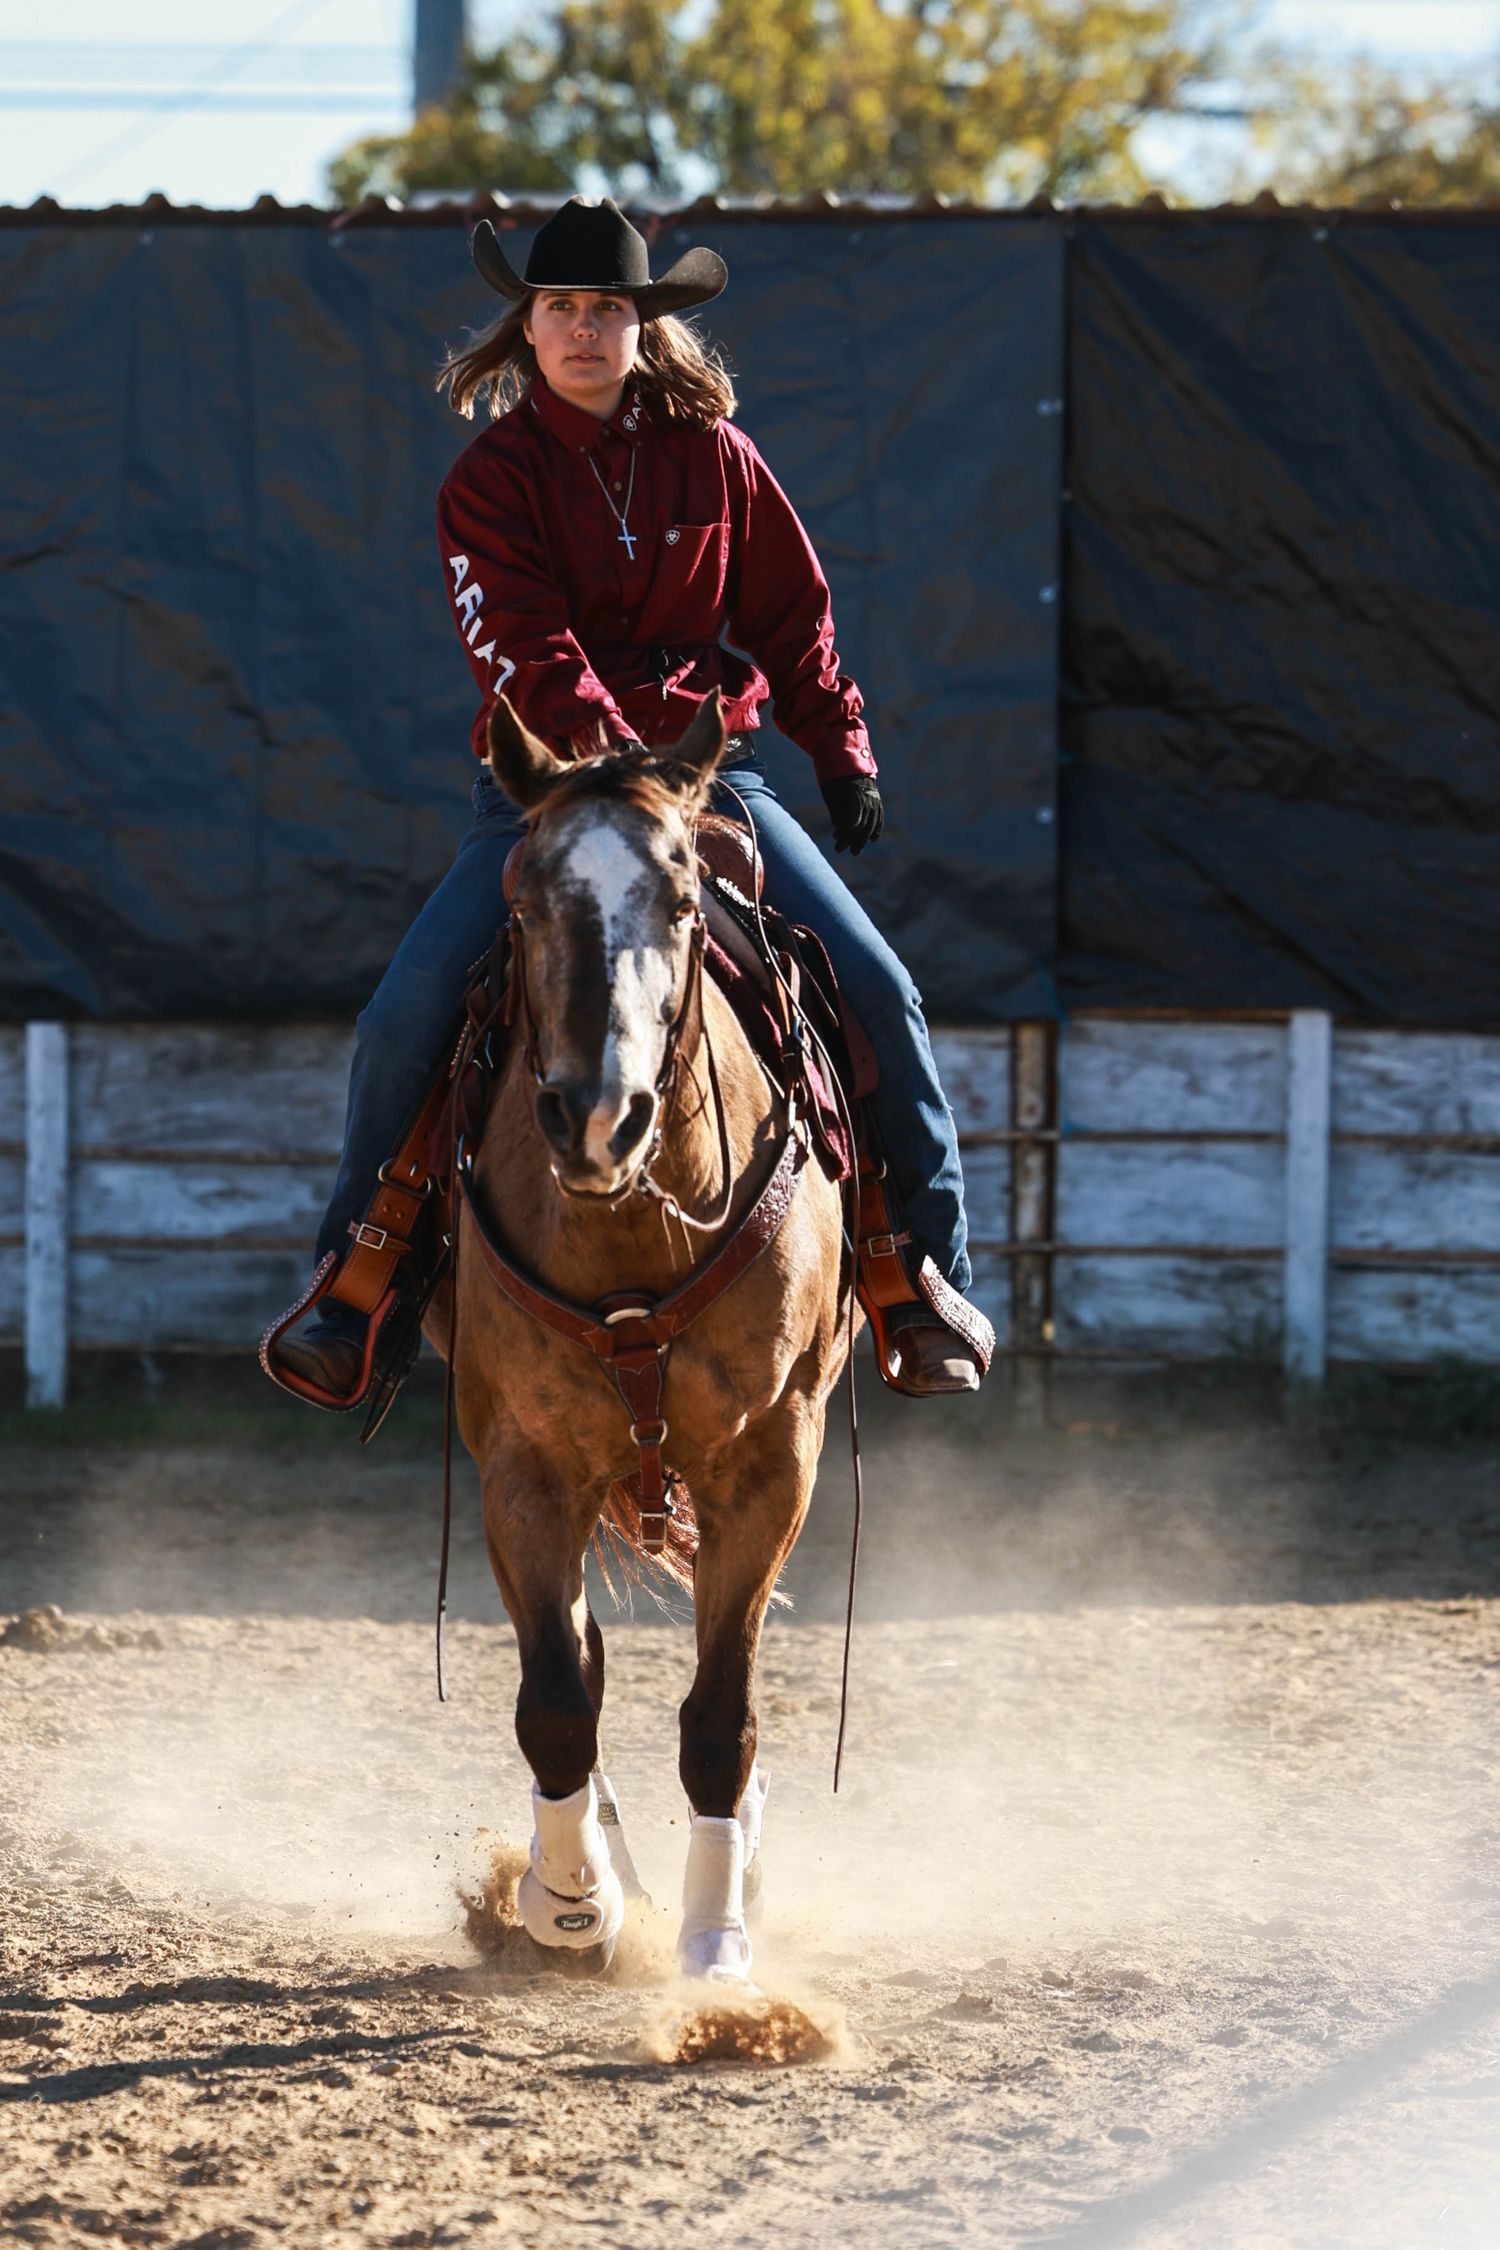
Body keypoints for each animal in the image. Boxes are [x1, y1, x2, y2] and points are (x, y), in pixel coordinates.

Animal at [428, 688, 850, 1984]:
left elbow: (723, 1714)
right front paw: (574, 1902)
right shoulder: (523, 1465)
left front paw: (717, 1936)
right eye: (521, 901)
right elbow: (557, 1700)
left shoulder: (771, 1461)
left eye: (680, 900)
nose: (599, 1117)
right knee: (581, 1657)